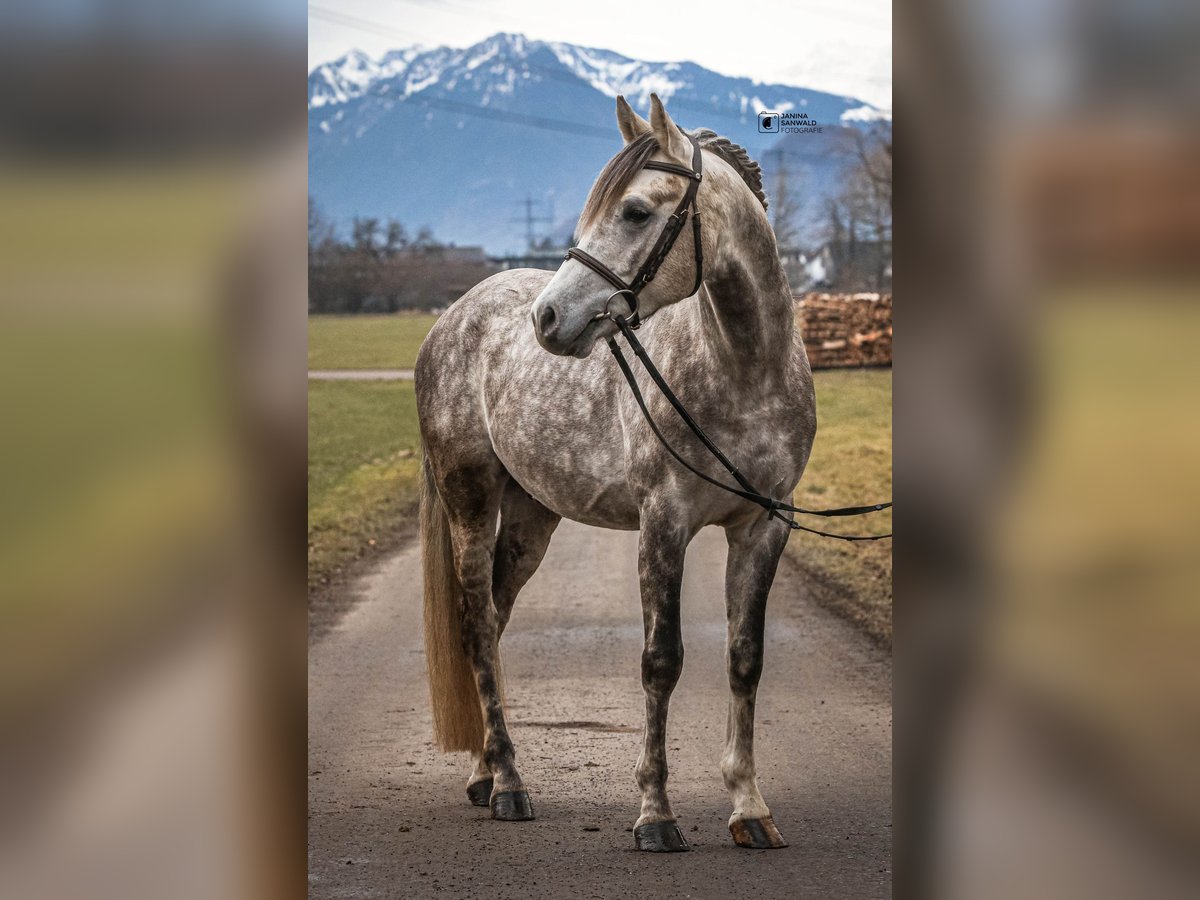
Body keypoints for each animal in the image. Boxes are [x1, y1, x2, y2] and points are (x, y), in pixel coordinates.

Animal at [412, 93, 816, 854]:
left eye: (633, 211)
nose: (548, 319)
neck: (743, 367)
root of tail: (453, 317)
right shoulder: (663, 525)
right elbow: (661, 662)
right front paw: (655, 816)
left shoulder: (762, 527)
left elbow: (745, 658)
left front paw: (749, 808)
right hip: (470, 500)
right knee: (478, 624)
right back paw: (509, 785)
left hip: (532, 516)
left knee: (498, 619)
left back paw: (486, 772)